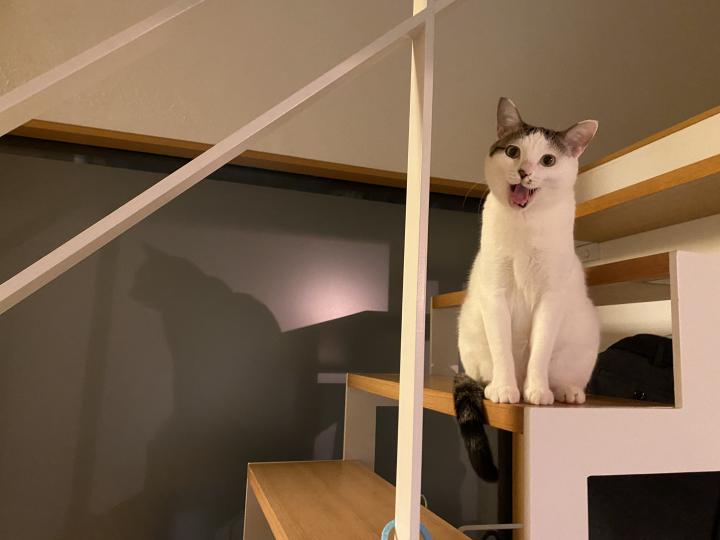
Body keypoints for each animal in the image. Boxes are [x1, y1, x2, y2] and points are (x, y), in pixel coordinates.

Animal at [454, 98, 600, 480]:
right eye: (512, 151)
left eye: (547, 160)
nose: (523, 171)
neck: (525, 222)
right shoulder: (495, 293)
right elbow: (503, 347)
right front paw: (507, 389)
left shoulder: (550, 298)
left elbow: (540, 348)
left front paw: (535, 390)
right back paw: (494, 384)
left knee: (563, 372)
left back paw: (566, 391)